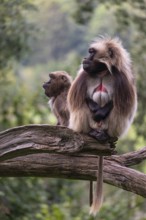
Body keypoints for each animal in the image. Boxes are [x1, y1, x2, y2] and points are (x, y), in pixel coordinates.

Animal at [67, 37, 137, 215]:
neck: (102, 73)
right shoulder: (84, 74)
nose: (85, 58)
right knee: (81, 106)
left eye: (92, 52)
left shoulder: (120, 78)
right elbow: (80, 100)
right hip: (85, 124)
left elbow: (120, 104)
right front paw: (95, 109)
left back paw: (105, 136)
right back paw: (92, 133)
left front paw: (102, 110)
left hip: (111, 126)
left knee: (118, 109)